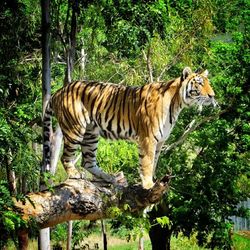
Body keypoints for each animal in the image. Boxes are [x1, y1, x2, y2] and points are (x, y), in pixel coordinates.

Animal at [42, 67, 215, 188]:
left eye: (208, 83)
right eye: (199, 83)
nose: (213, 95)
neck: (177, 103)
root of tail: (59, 91)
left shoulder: (159, 141)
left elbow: (154, 162)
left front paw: (152, 182)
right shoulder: (148, 138)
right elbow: (147, 162)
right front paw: (148, 185)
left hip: (91, 134)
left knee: (88, 161)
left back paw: (109, 177)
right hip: (75, 128)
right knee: (66, 157)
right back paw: (75, 174)